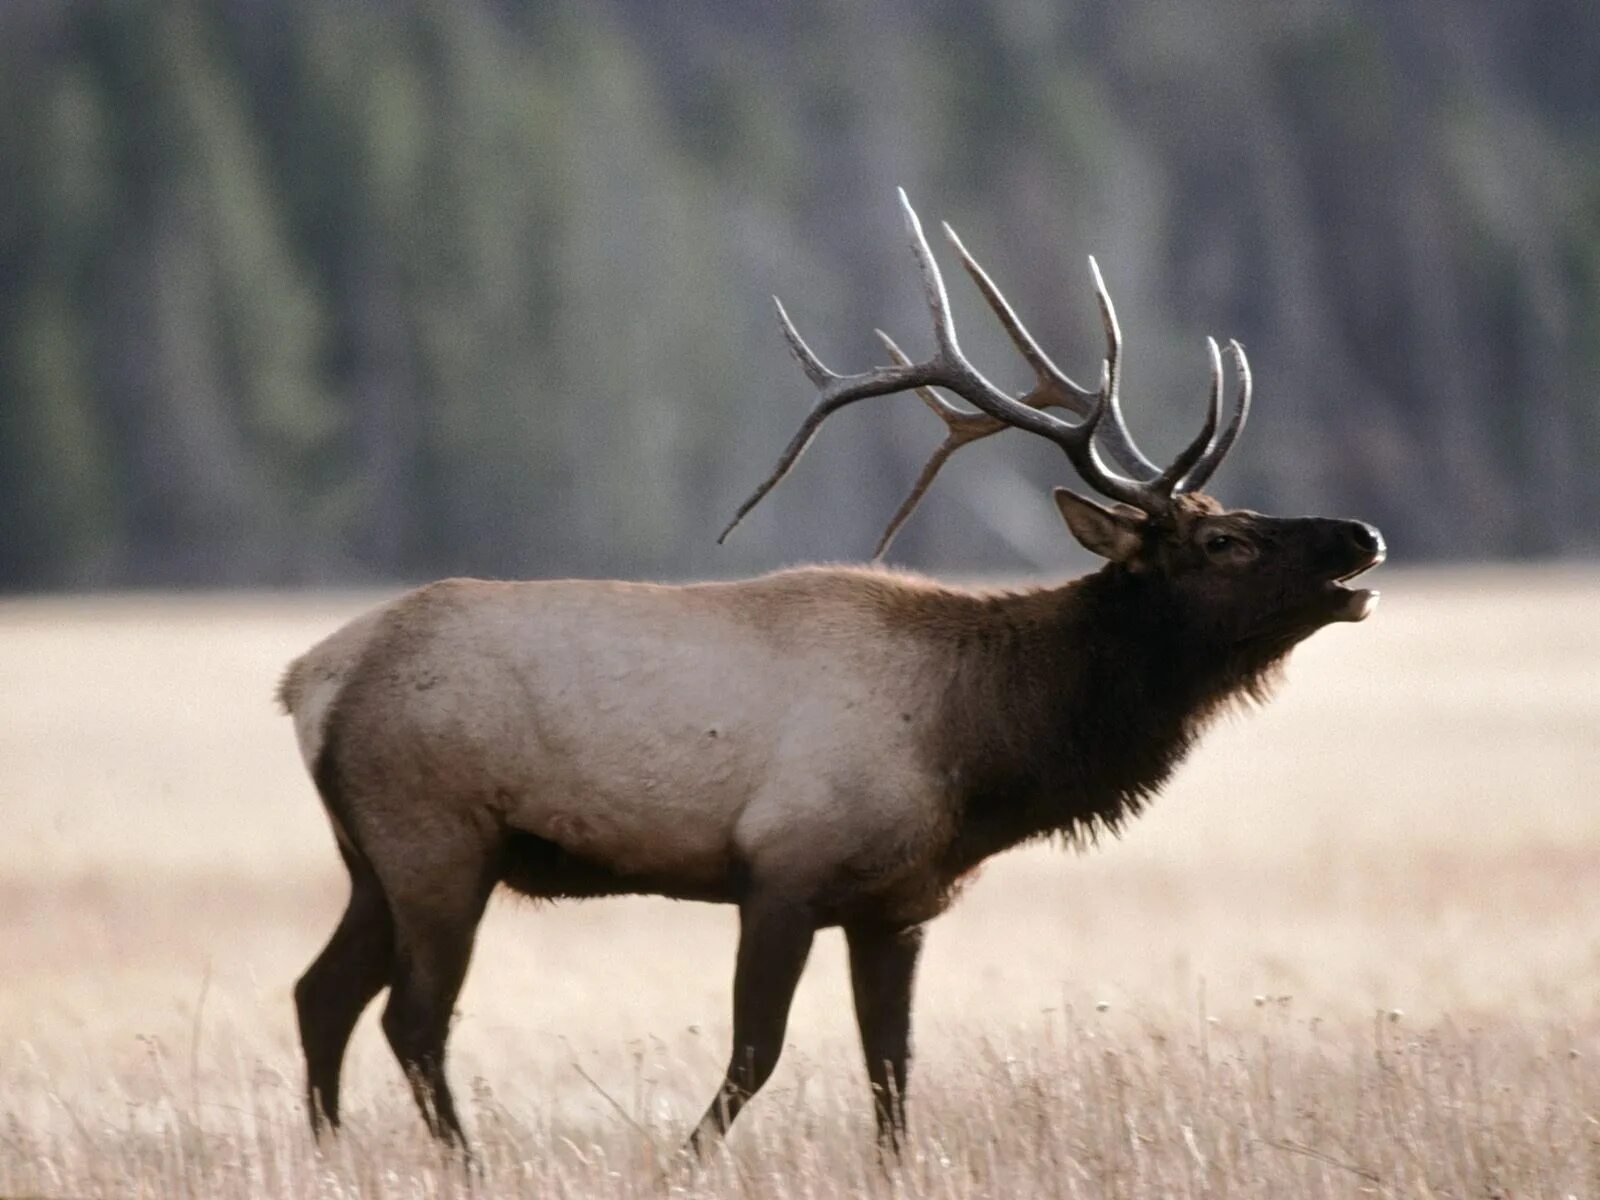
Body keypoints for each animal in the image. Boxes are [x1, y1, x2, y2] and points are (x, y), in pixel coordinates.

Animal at [281, 192, 1382, 1158]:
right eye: (1225, 542)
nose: (1361, 536)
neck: (978, 748)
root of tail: (311, 680)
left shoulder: (897, 904)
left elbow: (890, 1071)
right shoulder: (783, 869)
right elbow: (754, 1056)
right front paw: (679, 1165)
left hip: (371, 857)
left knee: (320, 995)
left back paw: (332, 1155)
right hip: (437, 841)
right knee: (411, 1020)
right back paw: (460, 1165)